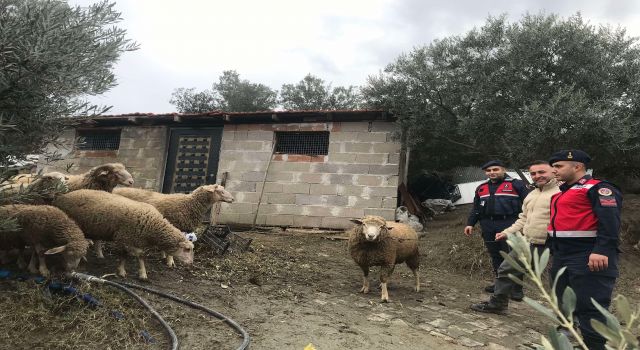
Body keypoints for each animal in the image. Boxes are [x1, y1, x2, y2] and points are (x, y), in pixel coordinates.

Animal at [52, 190, 194, 280]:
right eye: (187, 249)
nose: (191, 263)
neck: (153, 225)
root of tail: (62, 196)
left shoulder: (136, 240)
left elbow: (141, 256)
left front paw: (142, 274)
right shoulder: (123, 238)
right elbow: (125, 255)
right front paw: (121, 271)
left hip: (97, 226)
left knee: (96, 240)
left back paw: (99, 254)